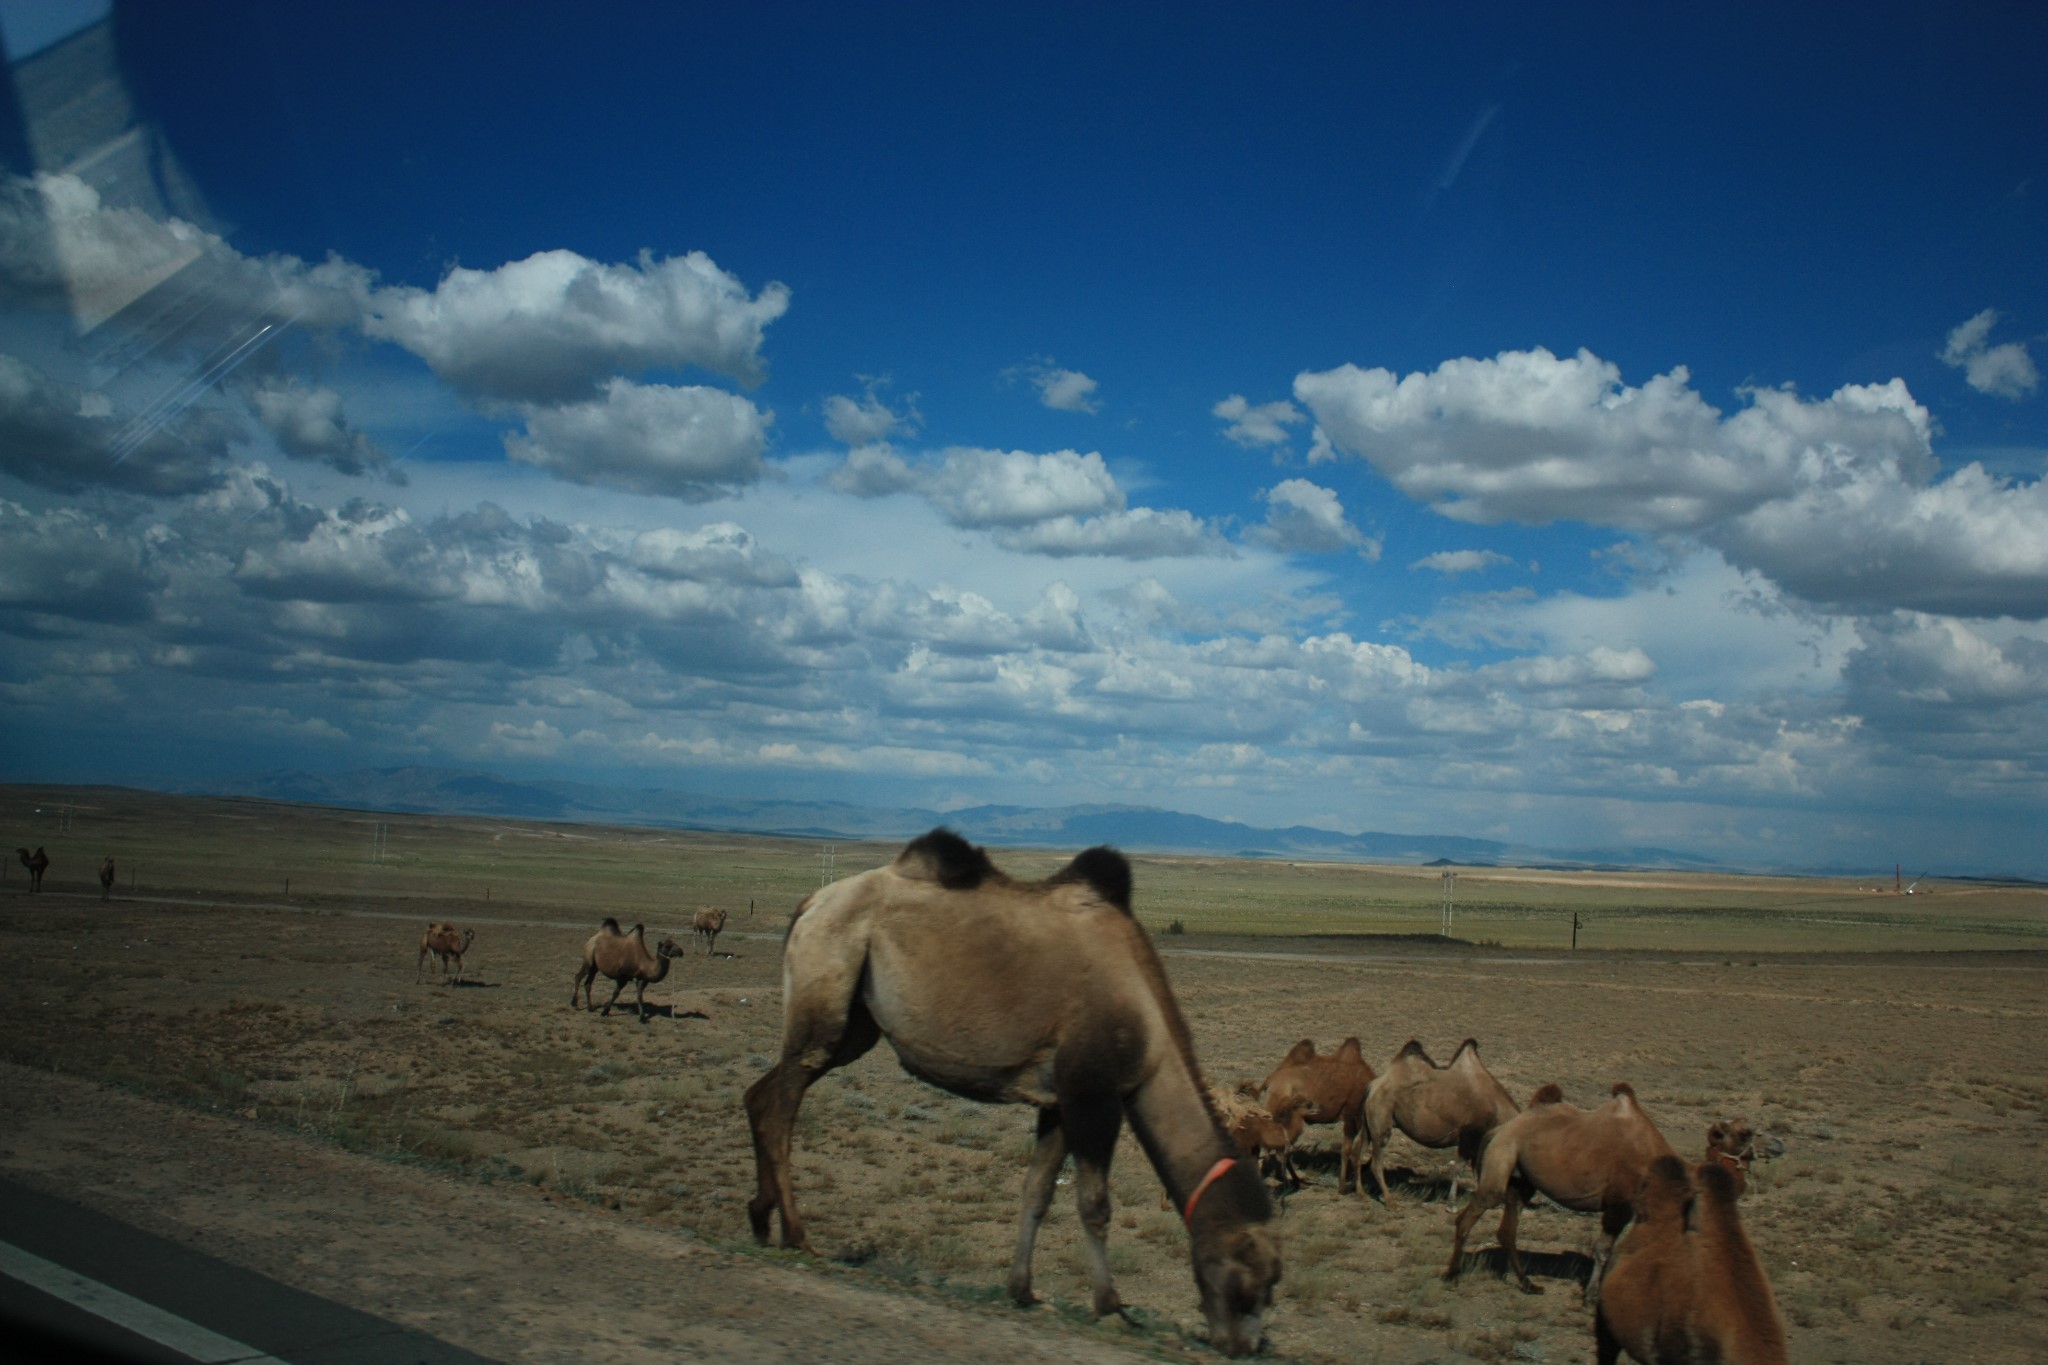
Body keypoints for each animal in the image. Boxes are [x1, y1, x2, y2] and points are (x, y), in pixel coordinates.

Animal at [737, 834, 1277, 1358]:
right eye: (1256, 1278)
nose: (1246, 1345)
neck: (1149, 1038)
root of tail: (810, 903)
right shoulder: (1092, 1096)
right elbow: (1094, 1204)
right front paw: (1111, 1306)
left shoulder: (1058, 1103)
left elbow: (1037, 1192)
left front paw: (1022, 1289)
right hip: (828, 985)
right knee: (781, 1107)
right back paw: (798, 1235)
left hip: (855, 1025)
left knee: (762, 1094)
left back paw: (760, 1218)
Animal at [1359, 1039, 1523, 1203]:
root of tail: (1373, 1086)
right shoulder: (1469, 1137)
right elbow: (1460, 1169)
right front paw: (1452, 1201)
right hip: (1381, 1120)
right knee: (1376, 1163)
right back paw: (1389, 1200)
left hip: (1371, 1124)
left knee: (1359, 1154)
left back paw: (1363, 1194)